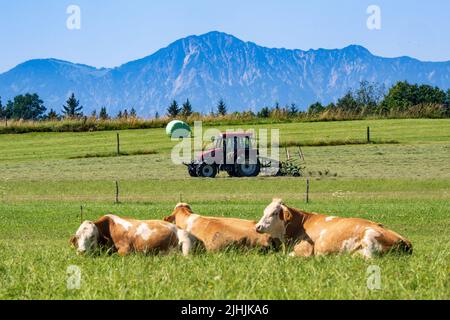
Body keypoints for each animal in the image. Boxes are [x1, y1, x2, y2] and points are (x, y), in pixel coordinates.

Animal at [255, 199, 414, 258]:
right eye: (264, 211)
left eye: (274, 213)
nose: (257, 226)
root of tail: (404, 240)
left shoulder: (304, 251)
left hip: (370, 238)